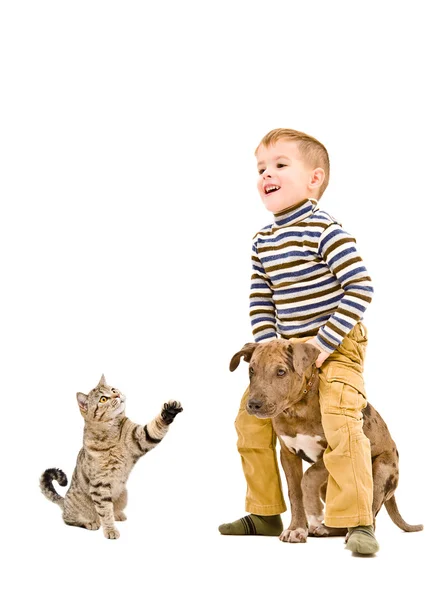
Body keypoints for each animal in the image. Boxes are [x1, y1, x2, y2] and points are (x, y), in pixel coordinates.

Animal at [39, 376, 183, 540]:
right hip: (75, 509)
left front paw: (169, 412)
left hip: (124, 494)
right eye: (103, 399)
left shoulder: (141, 437)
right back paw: (90, 522)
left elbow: (155, 428)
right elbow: (105, 510)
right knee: (68, 519)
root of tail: (64, 501)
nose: (117, 395)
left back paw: (118, 514)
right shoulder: (100, 484)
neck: (111, 431)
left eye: (113, 389)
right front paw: (110, 530)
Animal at [231, 342, 424, 544]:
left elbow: (309, 476)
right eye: (251, 370)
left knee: (369, 511)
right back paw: (325, 529)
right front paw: (296, 528)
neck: (296, 410)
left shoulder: (334, 451)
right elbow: (295, 492)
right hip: (328, 487)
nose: (253, 404)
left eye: (281, 372)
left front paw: (314, 513)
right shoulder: (288, 454)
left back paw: (357, 534)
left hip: (380, 472)